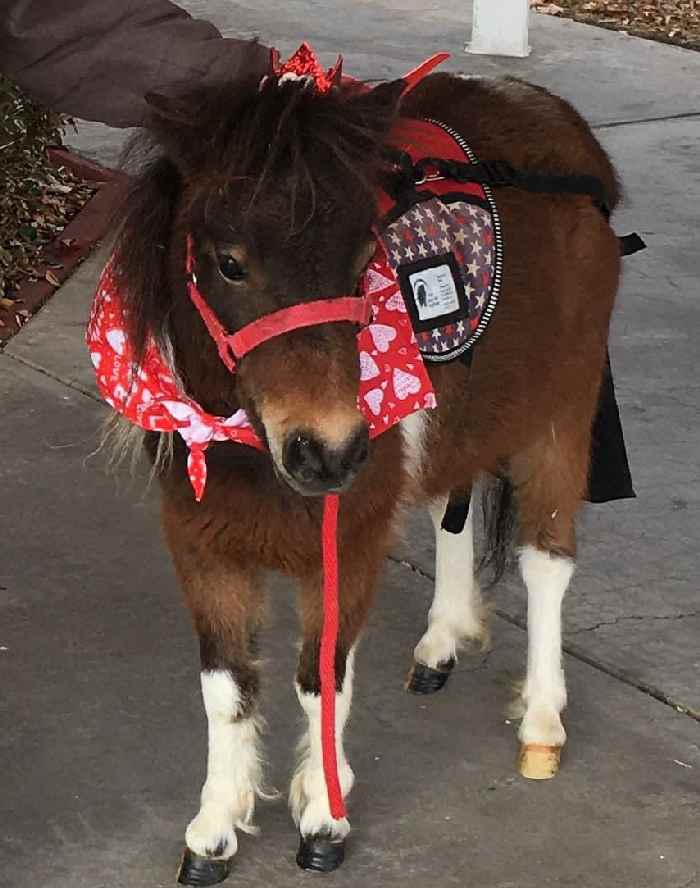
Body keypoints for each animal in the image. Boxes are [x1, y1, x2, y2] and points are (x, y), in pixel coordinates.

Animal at [103, 45, 623, 884]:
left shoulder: (343, 542)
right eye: (229, 262)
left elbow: (323, 681)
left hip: (562, 412)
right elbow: (226, 686)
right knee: (452, 506)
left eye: (361, 260)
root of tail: (569, 133)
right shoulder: (199, 542)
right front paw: (215, 826)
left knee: (547, 560)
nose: (330, 451)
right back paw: (444, 639)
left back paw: (542, 720)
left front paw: (323, 815)